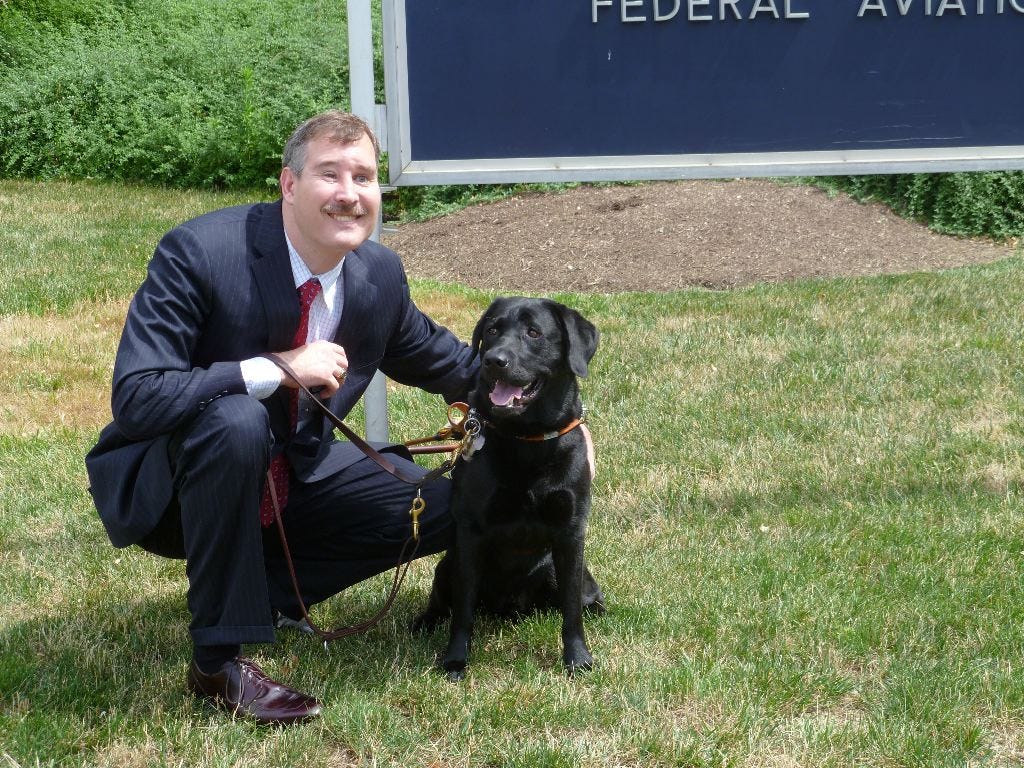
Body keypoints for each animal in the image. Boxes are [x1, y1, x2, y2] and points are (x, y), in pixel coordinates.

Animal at [409, 296, 602, 679]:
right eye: (493, 330)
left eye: (534, 333)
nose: (493, 360)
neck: (526, 438)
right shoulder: (470, 533)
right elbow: (463, 611)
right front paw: (455, 660)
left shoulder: (571, 531)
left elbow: (572, 609)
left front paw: (577, 658)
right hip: (446, 566)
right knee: (443, 602)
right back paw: (424, 621)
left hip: (557, 570)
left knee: (583, 597)